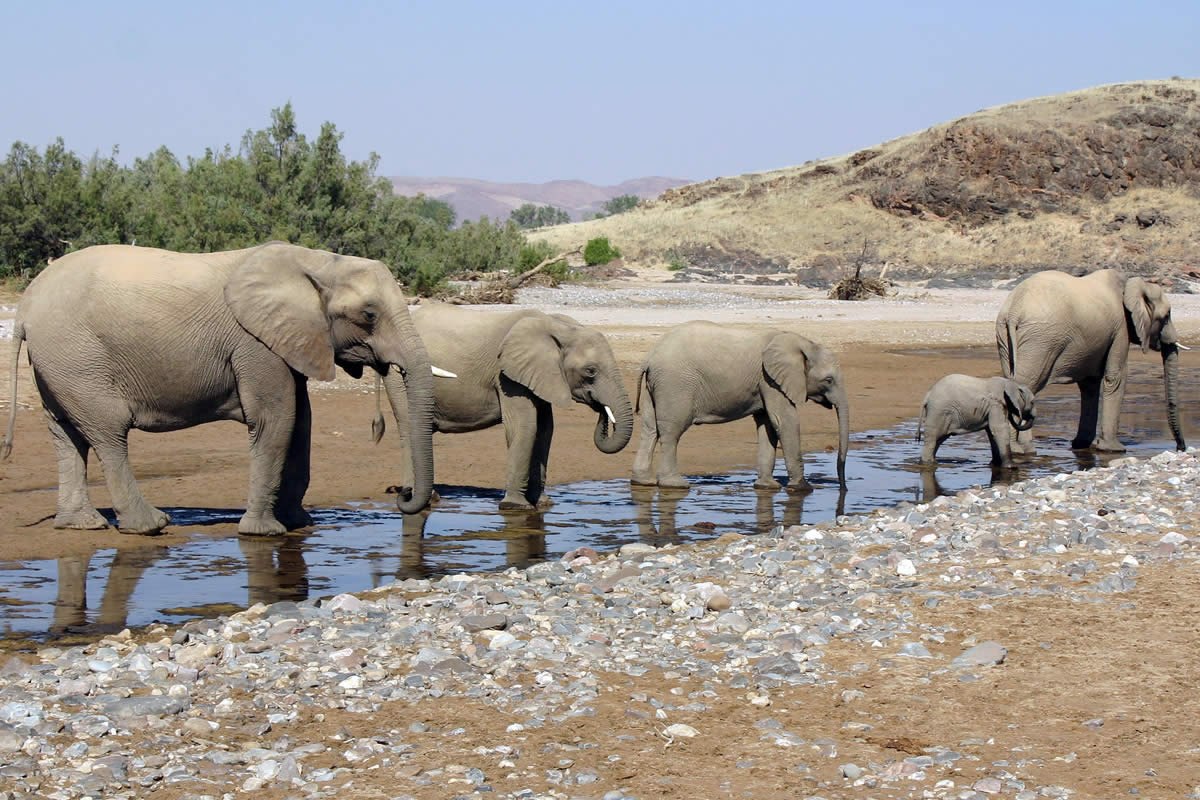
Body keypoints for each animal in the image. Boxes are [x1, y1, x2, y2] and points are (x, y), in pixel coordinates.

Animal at [0, 241, 441, 534]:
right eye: (369, 315)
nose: (401, 496)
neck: (315, 261)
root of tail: (25, 307)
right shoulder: (254, 344)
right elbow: (276, 420)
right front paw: (264, 532)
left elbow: (301, 422)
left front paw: (299, 522)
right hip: (78, 357)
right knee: (108, 433)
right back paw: (151, 525)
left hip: (59, 362)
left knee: (66, 434)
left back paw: (81, 524)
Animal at [384, 303, 633, 510]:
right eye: (590, 371)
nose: (602, 410)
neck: (559, 327)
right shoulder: (507, 376)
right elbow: (525, 427)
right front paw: (516, 507)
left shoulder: (539, 376)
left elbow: (545, 430)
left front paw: (543, 504)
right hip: (398, 377)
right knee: (408, 427)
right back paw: (421, 497)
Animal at [633, 321, 849, 491]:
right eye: (828, 380)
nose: (844, 488)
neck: (801, 342)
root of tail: (649, 358)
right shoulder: (770, 380)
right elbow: (784, 421)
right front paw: (802, 488)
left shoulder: (765, 382)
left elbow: (768, 424)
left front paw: (767, 487)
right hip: (675, 385)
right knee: (671, 431)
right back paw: (675, 484)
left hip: (657, 387)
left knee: (650, 429)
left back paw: (643, 481)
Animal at [993, 268, 1180, 453]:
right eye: (1167, 316)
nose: (1180, 447)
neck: (1133, 284)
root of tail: (1015, 309)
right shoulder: (1121, 329)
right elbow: (1116, 377)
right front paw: (1114, 449)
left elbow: (1090, 384)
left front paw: (1082, 445)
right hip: (1041, 341)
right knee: (1026, 387)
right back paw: (1019, 450)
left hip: (1007, 335)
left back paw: (1025, 450)